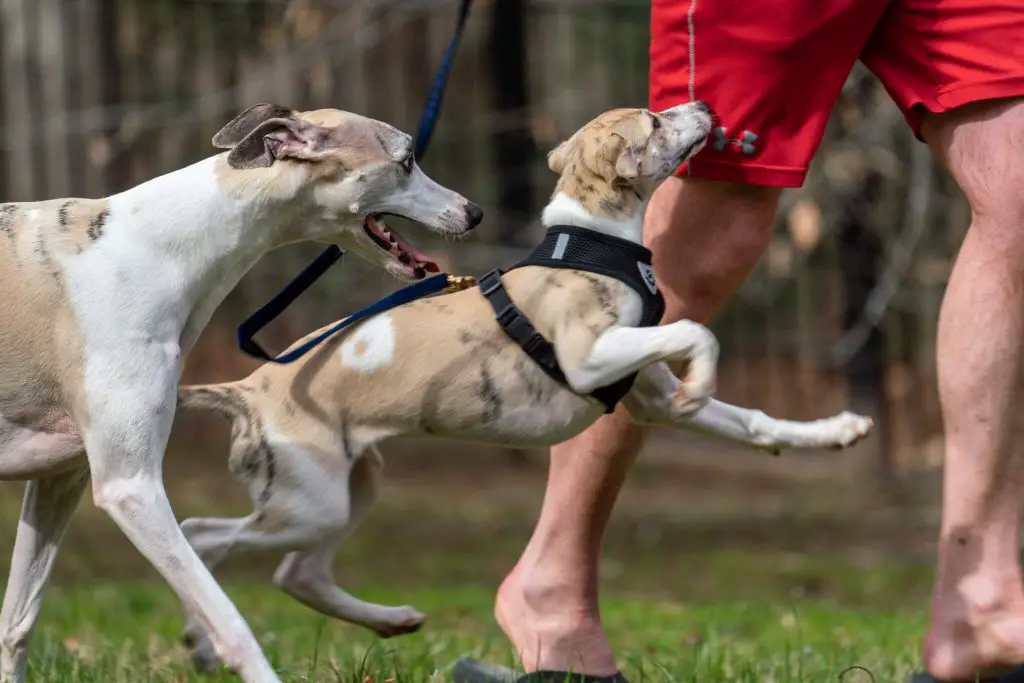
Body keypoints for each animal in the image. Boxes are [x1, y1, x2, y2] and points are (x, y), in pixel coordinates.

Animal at [0, 102, 481, 683]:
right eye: (407, 160)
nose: (474, 212)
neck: (156, 247)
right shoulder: (130, 487)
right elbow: (229, 621)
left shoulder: (58, 481)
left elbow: (17, 622)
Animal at [174, 101, 872, 671]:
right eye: (654, 119)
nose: (704, 104)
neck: (592, 244)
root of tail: (245, 388)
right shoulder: (589, 358)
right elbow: (697, 331)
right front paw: (701, 383)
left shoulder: (648, 400)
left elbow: (752, 420)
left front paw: (835, 431)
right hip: (308, 501)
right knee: (206, 537)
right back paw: (205, 642)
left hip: (349, 488)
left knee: (300, 573)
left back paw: (387, 620)